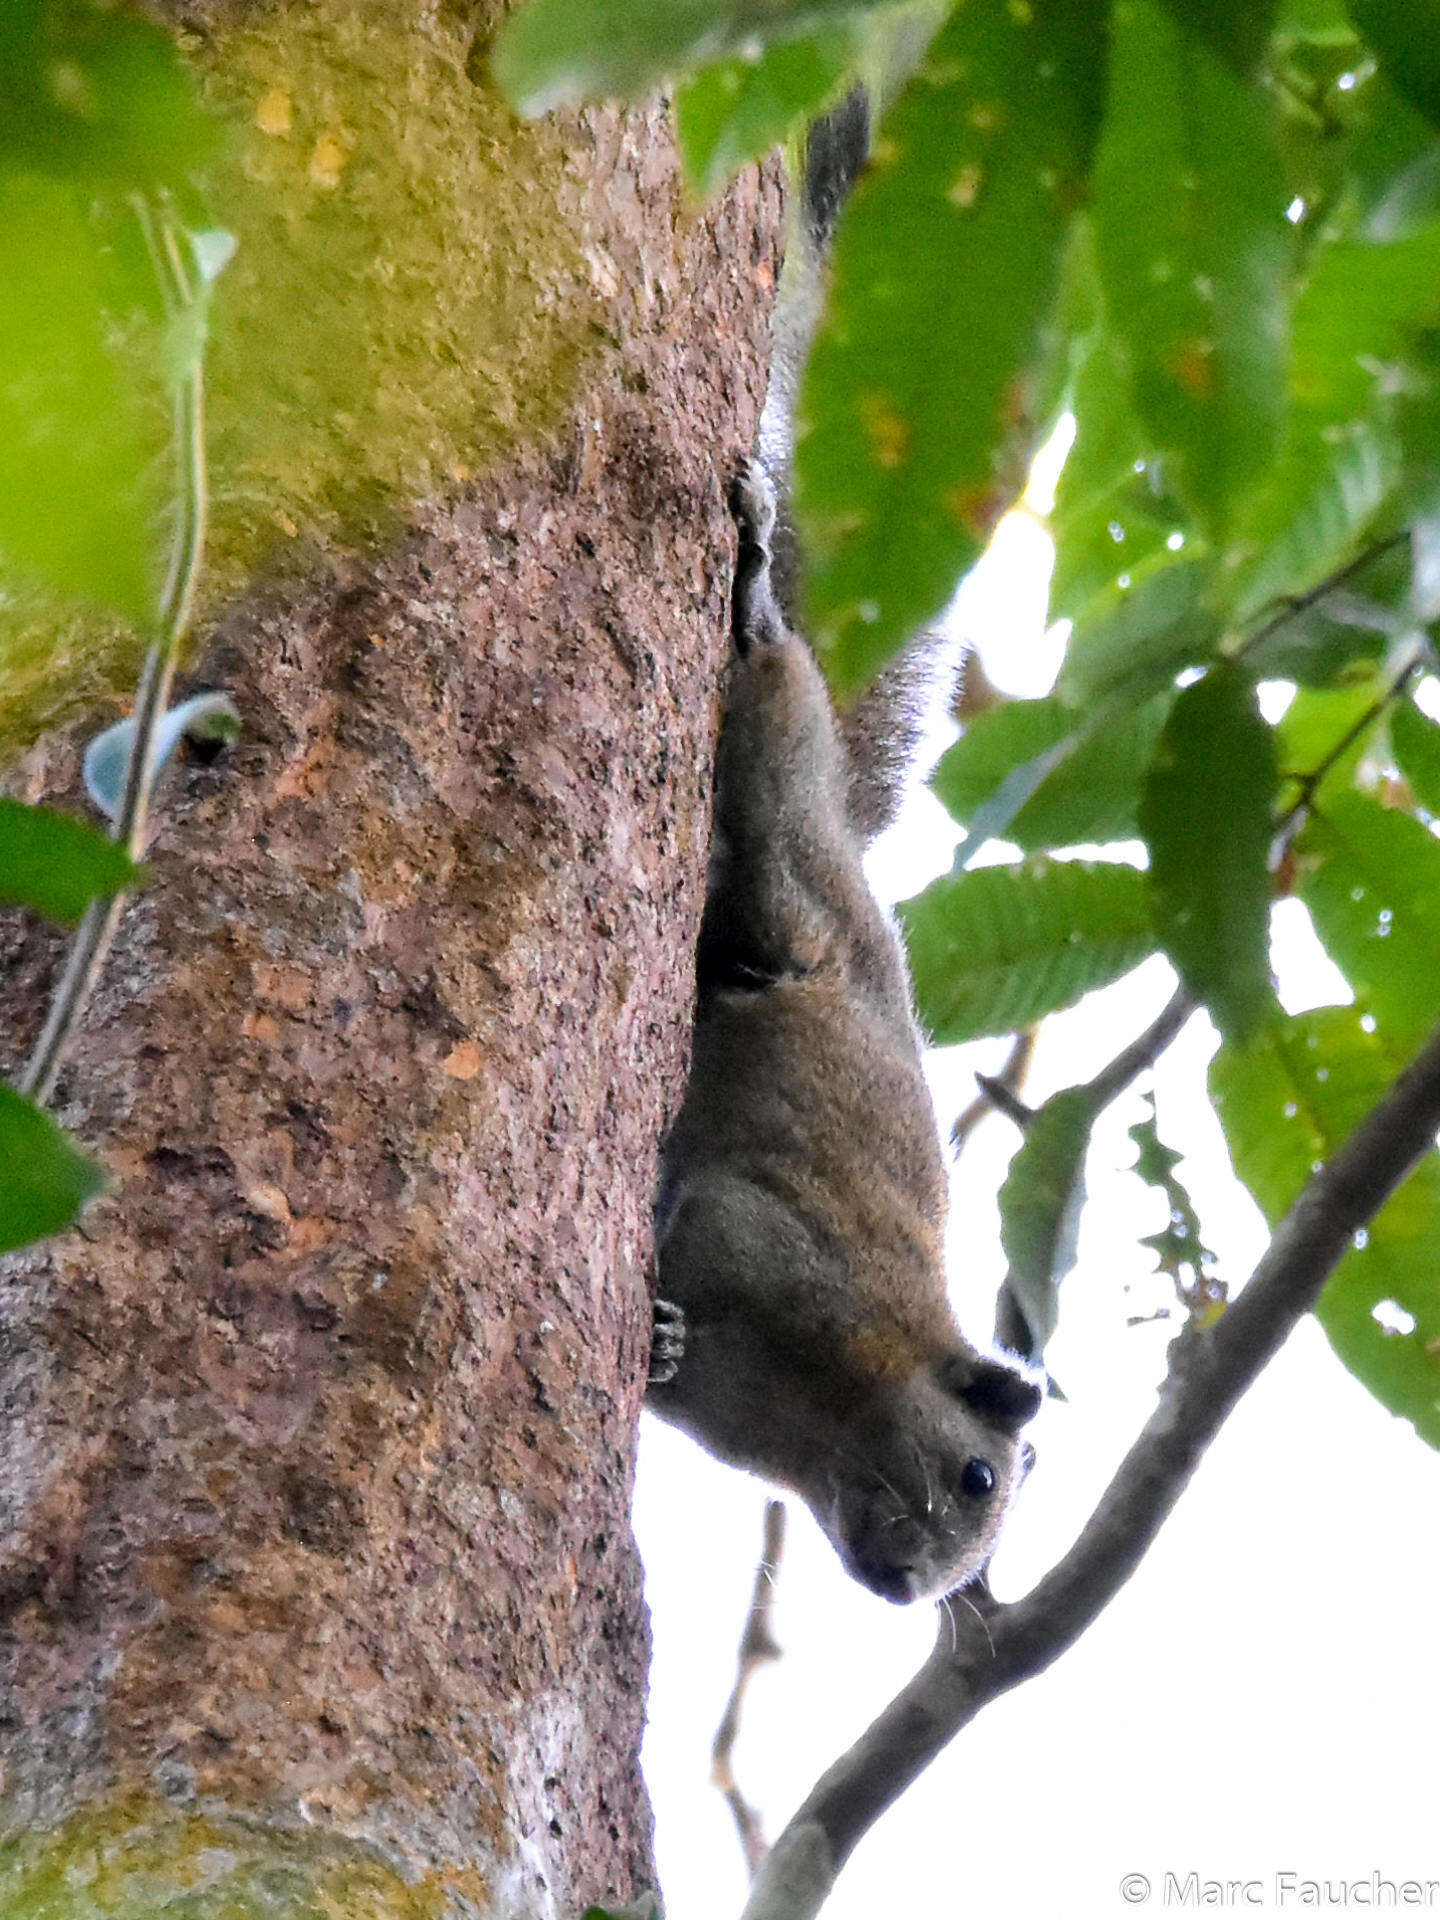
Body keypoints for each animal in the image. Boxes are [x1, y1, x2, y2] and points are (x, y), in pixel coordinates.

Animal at [648, 93, 1044, 1605]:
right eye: (981, 1476)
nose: (909, 1589)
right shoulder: (783, 1249)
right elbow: (699, 1227)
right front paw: (657, 1319)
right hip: (783, 828)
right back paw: (757, 599)